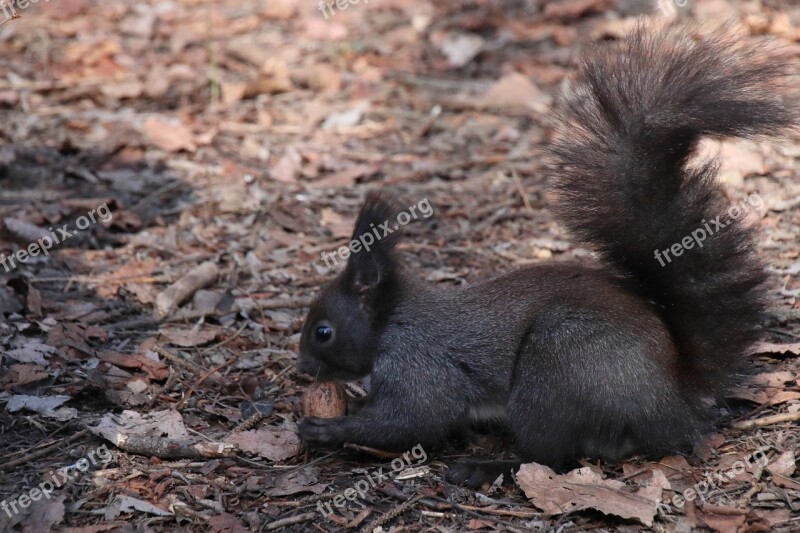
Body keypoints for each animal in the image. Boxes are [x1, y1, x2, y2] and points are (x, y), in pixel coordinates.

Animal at [296, 26, 796, 486]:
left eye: (323, 332)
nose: (302, 368)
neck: (392, 321)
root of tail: (674, 402)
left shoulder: (421, 367)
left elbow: (412, 420)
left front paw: (327, 428)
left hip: (556, 367)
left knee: (548, 455)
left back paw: (483, 467)